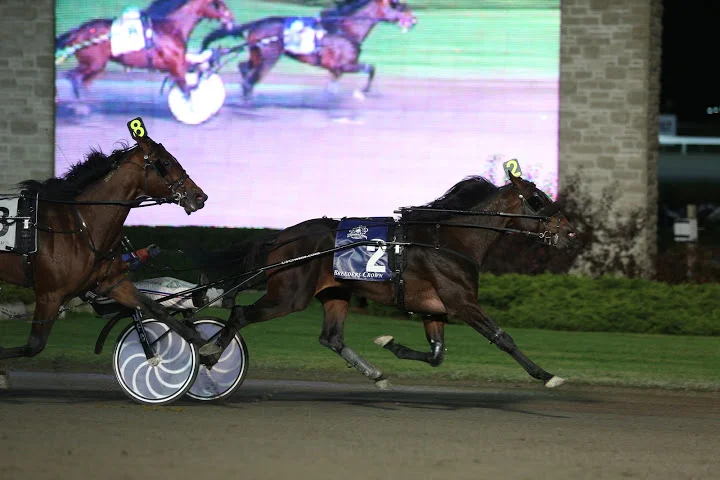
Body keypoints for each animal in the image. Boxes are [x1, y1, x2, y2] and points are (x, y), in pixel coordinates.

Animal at [0, 121, 209, 363]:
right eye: (166, 162)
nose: (199, 196)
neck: (80, 225)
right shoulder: (50, 294)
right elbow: (33, 345)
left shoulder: (110, 282)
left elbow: (155, 308)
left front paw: (209, 347)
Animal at [55, 0, 234, 98]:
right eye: (218, 4)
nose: (231, 18)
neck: (171, 28)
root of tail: (78, 31)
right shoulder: (175, 65)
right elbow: (186, 90)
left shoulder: (179, 62)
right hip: (93, 63)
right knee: (73, 77)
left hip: (97, 66)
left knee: (83, 81)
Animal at [197, 173, 576, 390]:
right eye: (537, 199)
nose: (570, 231)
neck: (451, 238)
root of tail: (281, 238)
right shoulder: (462, 302)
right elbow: (503, 338)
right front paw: (547, 376)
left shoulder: (434, 309)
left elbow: (436, 354)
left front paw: (388, 342)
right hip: (289, 295)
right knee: (240, 315)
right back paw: (211, 352)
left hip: (336, 292)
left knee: (332, 338)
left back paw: (375, 374)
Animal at [201, 0, 417, 99]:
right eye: (397, 6)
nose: (414, 19)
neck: (343, 29)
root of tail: (257, 23)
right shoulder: (343, 65)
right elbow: (370, 68)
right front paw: (362, 92)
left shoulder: (335, 69)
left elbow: (334, 83)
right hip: (269, 57)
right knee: (250, 78)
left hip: (257, 54)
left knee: (244, 67)